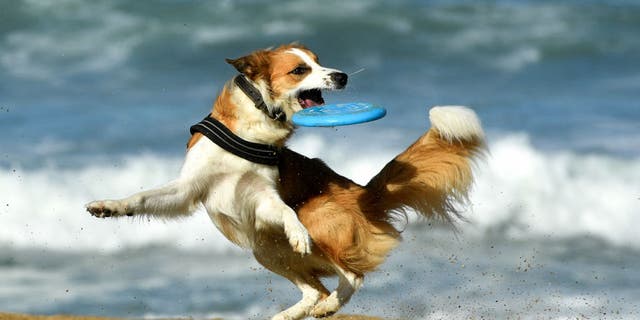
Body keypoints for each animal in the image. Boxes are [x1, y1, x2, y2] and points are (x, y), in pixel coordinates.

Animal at [85, 43, 484, 320]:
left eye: (320, 62)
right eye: (299, 69)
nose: (342, 76)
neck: (255, 122)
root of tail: (365, 192)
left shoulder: (264, 194)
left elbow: (285, 211)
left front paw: (296, 232)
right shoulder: (189, 188)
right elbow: (142, 198)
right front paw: (107, 207)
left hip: (317, 220)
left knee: (350, 276)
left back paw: (329, 302)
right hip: (265, 249)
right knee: (314, 290)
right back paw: (292, 314)